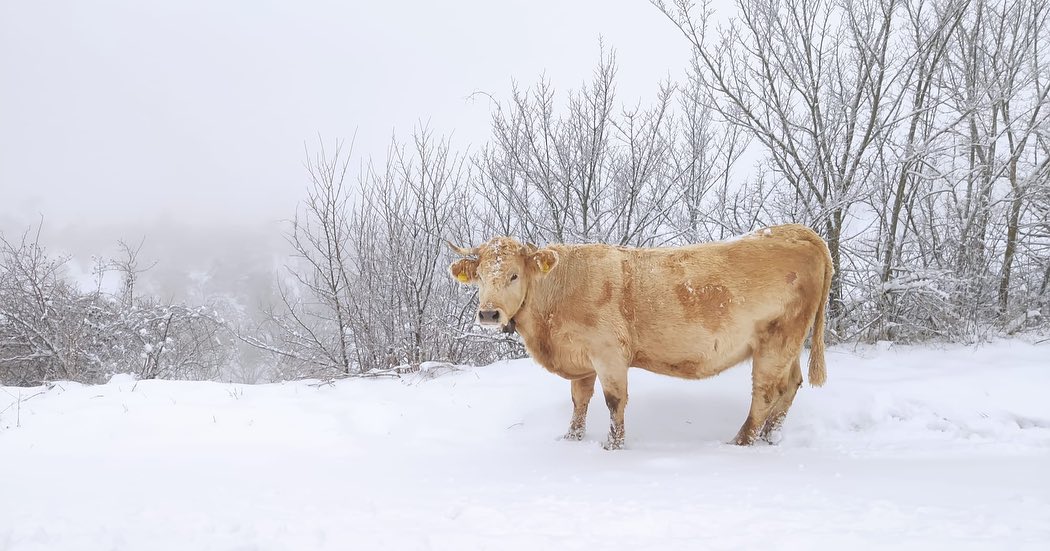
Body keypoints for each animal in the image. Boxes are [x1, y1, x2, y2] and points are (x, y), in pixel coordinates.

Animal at [447, 222, 831, 447]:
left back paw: (741, 442)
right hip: (789, 344)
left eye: (514, 275)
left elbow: (614, 401)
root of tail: (798, 231)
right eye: (479, 276)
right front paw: (571, 439)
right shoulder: (581, 358)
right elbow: (579, 401)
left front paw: (613, 446)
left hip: (776, 340)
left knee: (765, 393)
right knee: (790, 385)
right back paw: (770, 437)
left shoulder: (609, 353)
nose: (488, 313)